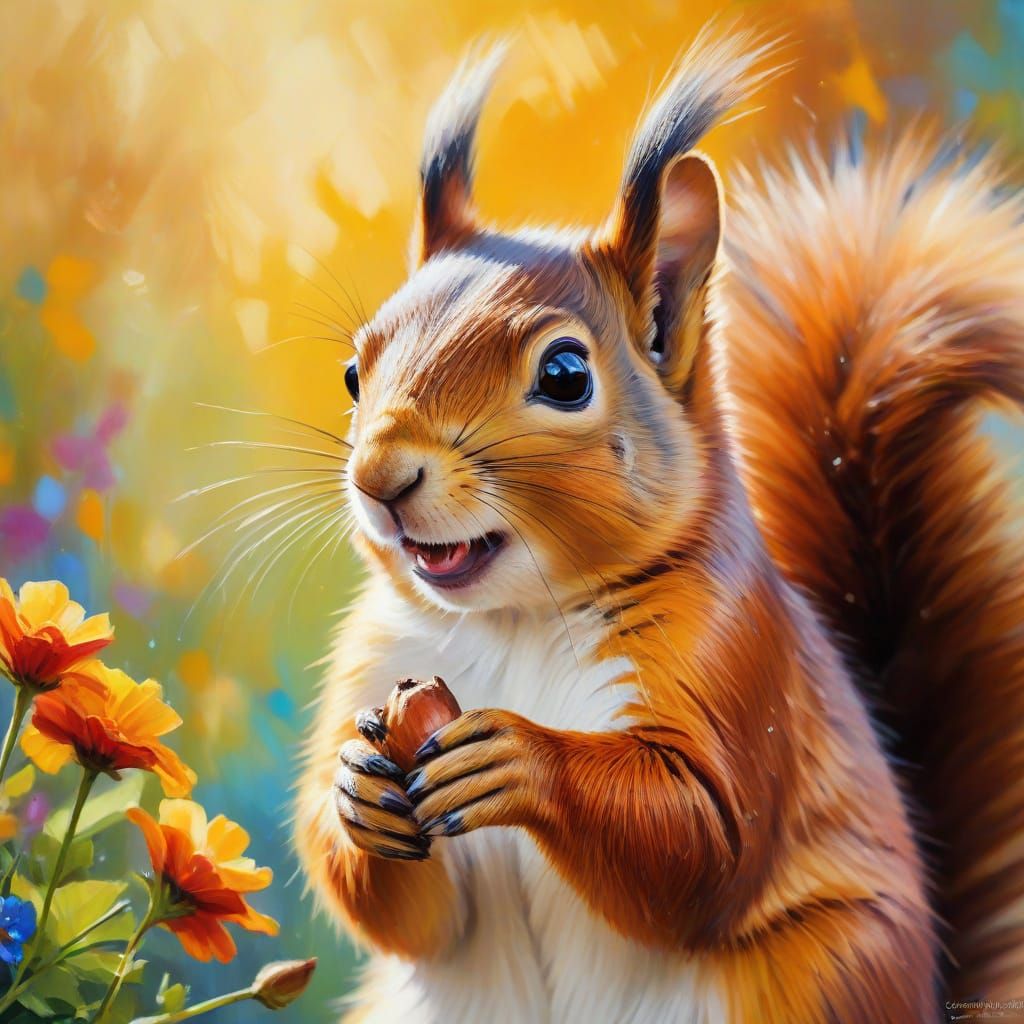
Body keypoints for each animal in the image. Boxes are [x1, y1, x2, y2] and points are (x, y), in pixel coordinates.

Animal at [295, 26, 1024, 1024]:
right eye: (352, 373)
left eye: (565, 375)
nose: (380, 478)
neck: (519, 619)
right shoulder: (377, 658)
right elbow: (402, 910)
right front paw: (352, 796)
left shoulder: (738, 662)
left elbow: (703, 844)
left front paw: (523, 762)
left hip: (817, 976)